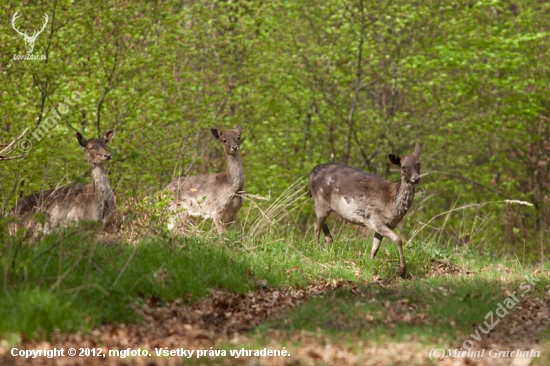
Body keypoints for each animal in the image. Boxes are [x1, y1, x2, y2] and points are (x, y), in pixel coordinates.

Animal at [310, 143, 422, 278]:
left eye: (418, 163)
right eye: (403, 166)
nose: (416, 178)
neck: (392, 203)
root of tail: (310, 174)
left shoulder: (382, 225)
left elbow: (375, 248)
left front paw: (370, 264)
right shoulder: (376, 220)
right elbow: (398, 239)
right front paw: (402, 271)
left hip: (324, 205)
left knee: (320, 222)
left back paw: (327, 245)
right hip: (320, 200)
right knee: (316, 224)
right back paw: (316, 249)